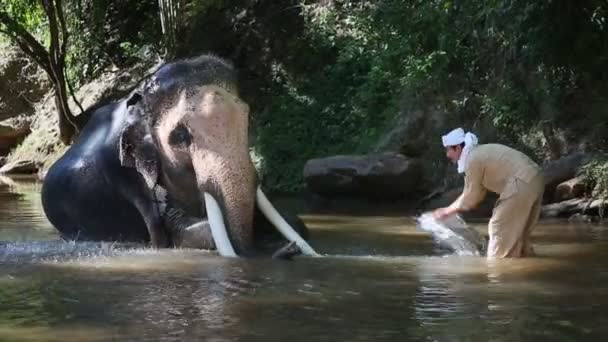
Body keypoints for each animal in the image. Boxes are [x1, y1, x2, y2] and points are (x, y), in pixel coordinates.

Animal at [40, 53, 318, 258]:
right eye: (181, 136)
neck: (139, 98)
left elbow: (294, 221)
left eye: (247, 119)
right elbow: (177, 233)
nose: (289, 249)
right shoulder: (127, 177)